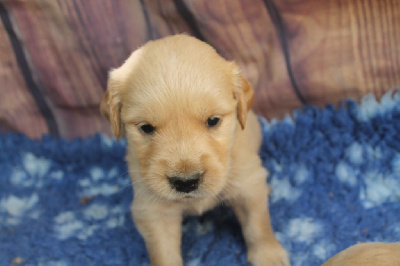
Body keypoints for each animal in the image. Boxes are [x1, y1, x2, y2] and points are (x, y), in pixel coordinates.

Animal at [99, 34, 288, 266]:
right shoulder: (153, 210)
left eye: (213, 121)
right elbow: (163, 252)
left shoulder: (247, 184)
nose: (186, 182)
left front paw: (269, 255)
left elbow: (258, 223)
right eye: (146, 128)